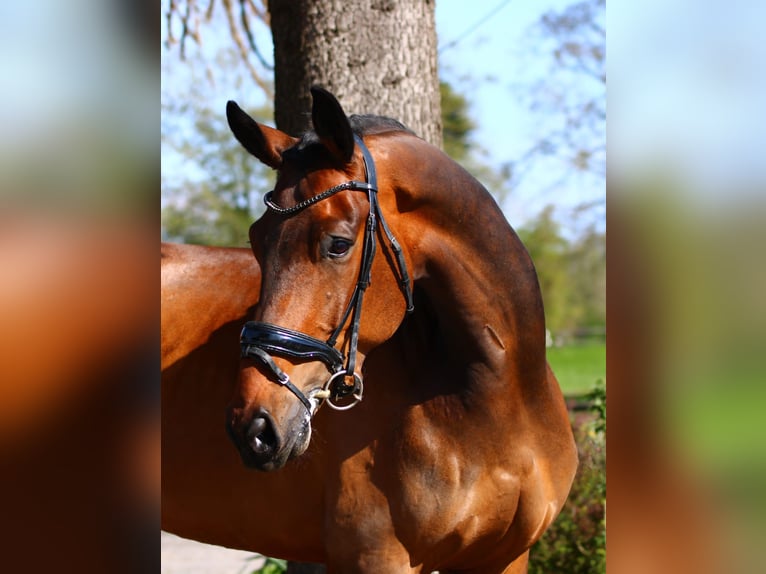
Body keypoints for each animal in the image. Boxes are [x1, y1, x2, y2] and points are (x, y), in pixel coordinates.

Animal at [165, 88, 580, 572]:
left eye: (338, 244)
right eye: (255, 239)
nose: (252, 427)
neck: (501, 402)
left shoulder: (506, 558)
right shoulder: (376, 556)